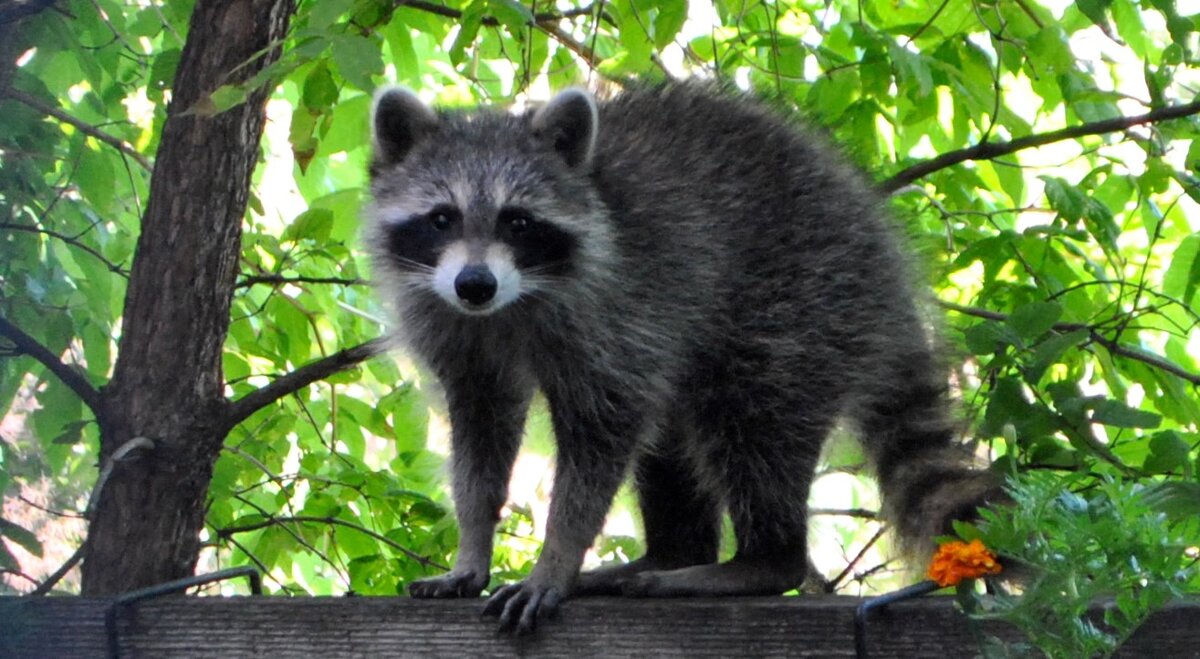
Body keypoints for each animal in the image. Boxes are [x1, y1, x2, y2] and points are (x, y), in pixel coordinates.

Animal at [367, 82, 1003, 633]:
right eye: (442, 217)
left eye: (517, 221)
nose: (475, 284)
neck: (509, 305)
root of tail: (883, 256)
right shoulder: (457, 332)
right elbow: (480, 434)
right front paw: (472, 546)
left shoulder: (618, 311)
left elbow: (602, 436)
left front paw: (557, 558)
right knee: (672, 435)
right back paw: (672, 553)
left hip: (803, 301)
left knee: (751, 422)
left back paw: (762, 560)